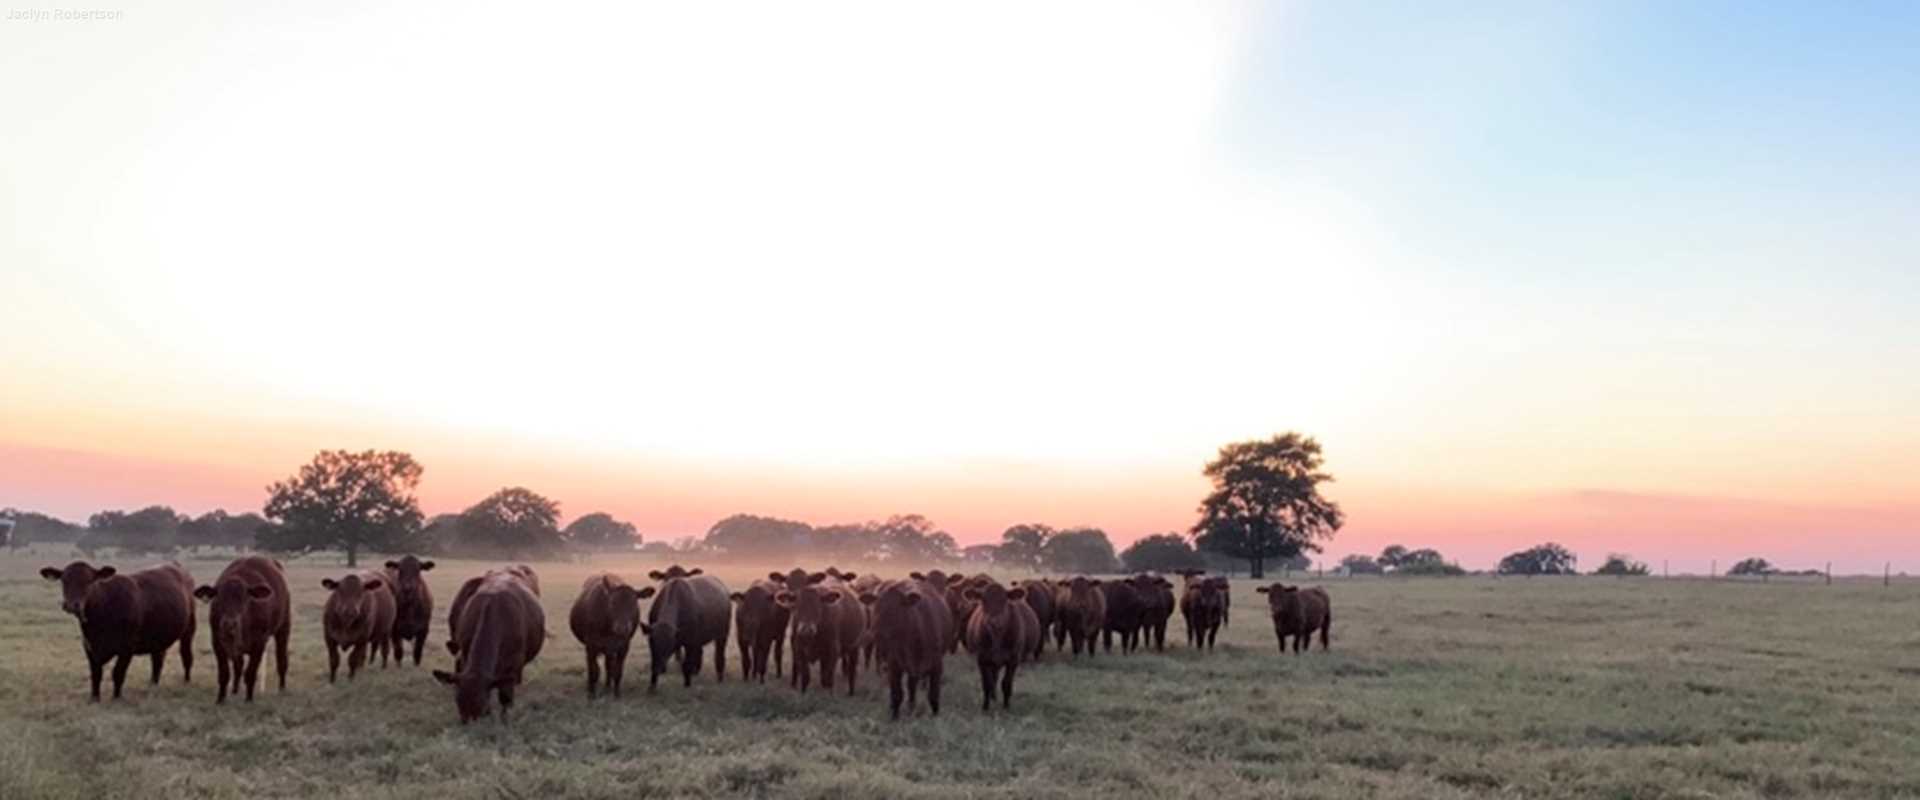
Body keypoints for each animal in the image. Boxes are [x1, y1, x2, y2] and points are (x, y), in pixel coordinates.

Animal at [41, 561, 196, 701]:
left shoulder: (127, 648)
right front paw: (94, 698)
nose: (72, 605)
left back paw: (186, 681)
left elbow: (118, 672)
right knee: (157, 659)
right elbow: (96, 674)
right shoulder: (89, 647)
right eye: (64, 580)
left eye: (89, 581)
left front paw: (116, 697)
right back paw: (153, 684)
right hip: (157, 638)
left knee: (186, 655)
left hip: (189, 630)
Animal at [194, 556, 291, 704]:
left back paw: (282, 687)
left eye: (243, 598)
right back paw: (234, 690)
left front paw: (248, 698)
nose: (229, 623)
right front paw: (221, 699)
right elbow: (224, 673)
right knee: (238, 665)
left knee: (282, 659)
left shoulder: (259, 643)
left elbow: (250, 672)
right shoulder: (217, 641)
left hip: (284, 627)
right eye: (219, 597)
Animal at [432, 569, 544, 723]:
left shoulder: (513, 664)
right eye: (458, 701)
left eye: (482, 705)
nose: (467, 724)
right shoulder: (464, 653)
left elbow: (506, 696)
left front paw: (505, 718)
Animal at [859, 578, 949, 719]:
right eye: (876, 607)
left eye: (896, 608)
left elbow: (933, 695)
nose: (876, 630)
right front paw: (894, 716)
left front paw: (935, 716)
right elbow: (897, 694)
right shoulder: (894, 664)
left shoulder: (937, 665)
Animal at [963, 582, 1041, 712]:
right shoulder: (982, 659)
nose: (994, 621)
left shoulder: (1013, 660)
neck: (997, 636)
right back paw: (993, 696)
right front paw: (985, 706)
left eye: (1004, 600)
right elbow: (986, 683)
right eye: (983, 600)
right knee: (993, 678)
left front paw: (1006, 706)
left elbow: (1006, 683)